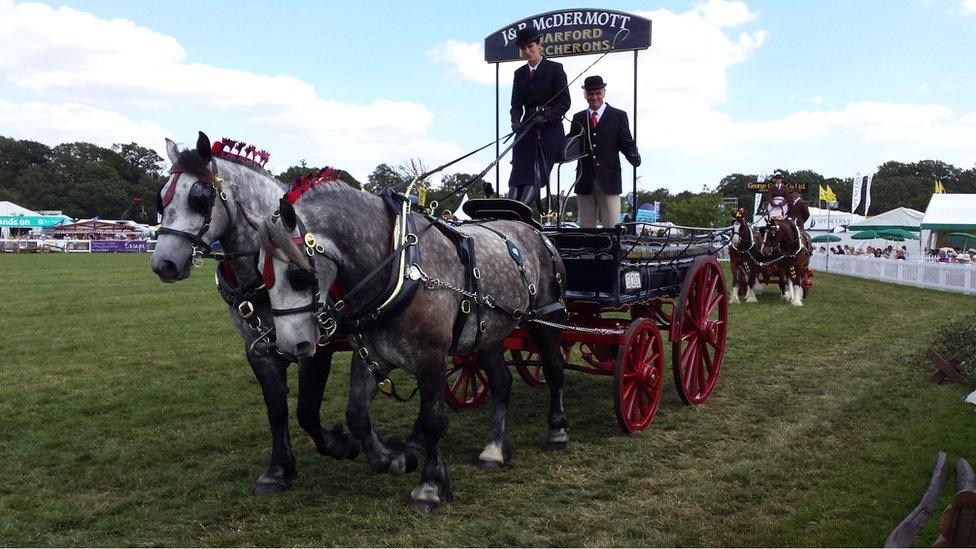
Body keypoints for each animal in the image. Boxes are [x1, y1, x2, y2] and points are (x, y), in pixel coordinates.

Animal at [148, 132, 354, 492]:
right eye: (161, 200)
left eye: (200, 198)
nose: (164, 264)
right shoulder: (259, 351)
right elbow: (277, 411)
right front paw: (278, 470)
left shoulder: (317, 348)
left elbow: (306, 410)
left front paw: (338, 444)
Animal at [258, 180, 572, 510]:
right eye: (261, 277)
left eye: (299, 276)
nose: (289, 345)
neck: (399, 266)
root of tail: (537, 231)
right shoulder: (372, 356)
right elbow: (357, 416)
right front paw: (397, 459)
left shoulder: (432, 359)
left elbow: (434, 422)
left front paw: (429, 486)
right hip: (487, 335)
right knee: (501, 382)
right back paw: (495, 449)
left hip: (545, 320)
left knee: (554, 370)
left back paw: (557, 431)